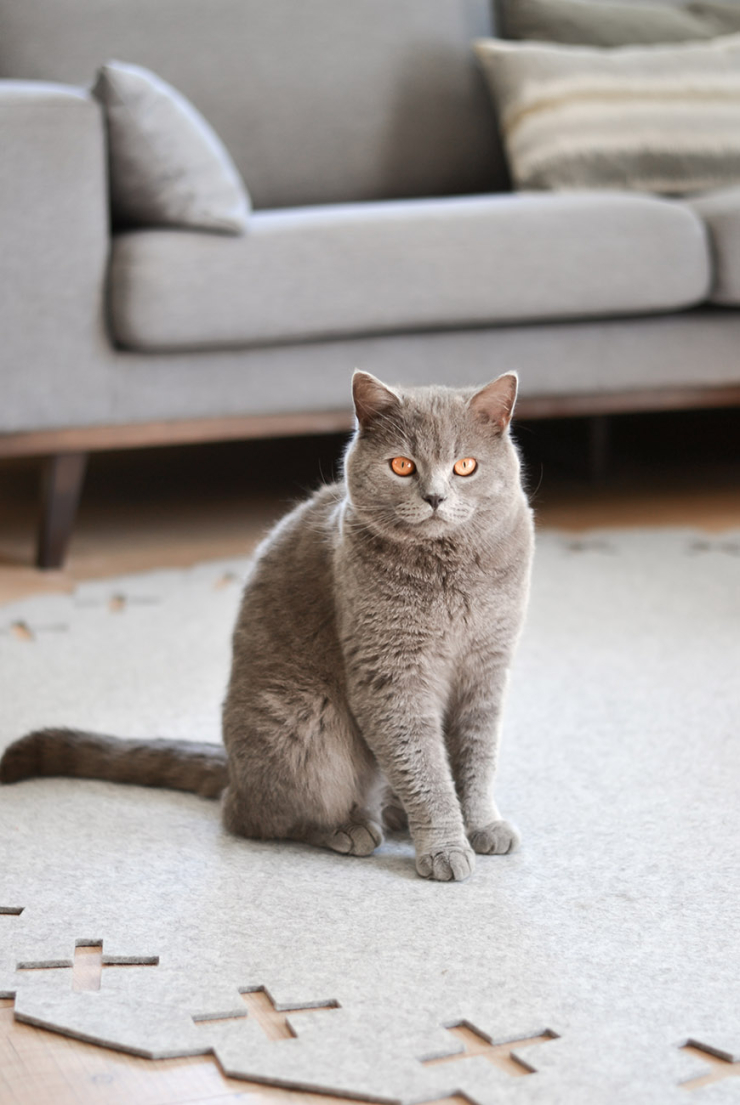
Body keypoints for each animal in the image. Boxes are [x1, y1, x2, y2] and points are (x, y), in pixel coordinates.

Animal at [0, 375, 534, 884]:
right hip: (312, 731)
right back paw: (349, 828)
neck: (450, 574)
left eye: (465, 466)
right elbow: (425, 771)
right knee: (250, 816)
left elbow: (475, 759)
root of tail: (231, 769)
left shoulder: (488, 668)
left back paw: (390, 814)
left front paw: (482, 825)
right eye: (402, 466)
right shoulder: (391, 677)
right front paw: (445, 848)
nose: (435, 497)